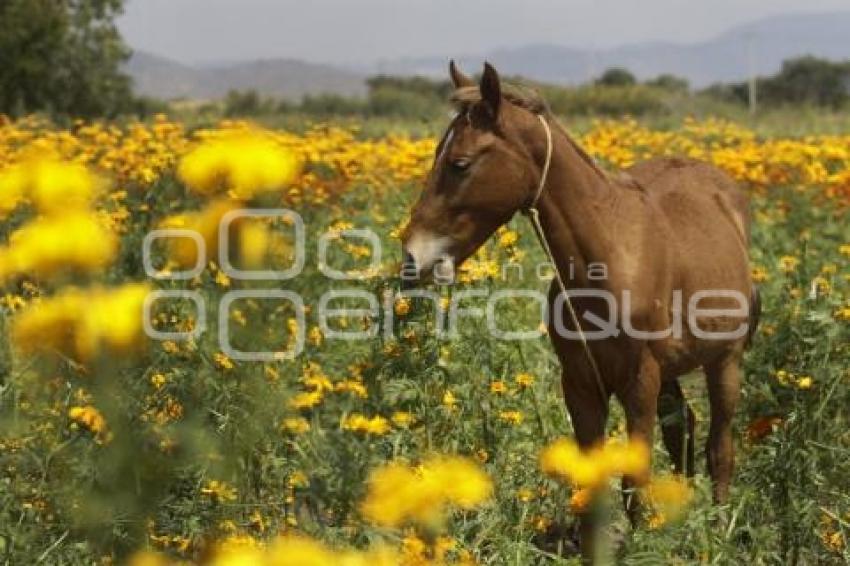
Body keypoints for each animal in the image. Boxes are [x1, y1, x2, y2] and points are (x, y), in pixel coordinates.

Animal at [400, 61, 760, 560]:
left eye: (460, 163)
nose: (414, 257)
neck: (609, 255)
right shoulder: (581, 384)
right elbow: (592, 483)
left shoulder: (639, 381)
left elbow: (634, 479)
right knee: (683, 431)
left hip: (724, 361)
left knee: (719, 448)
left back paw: (719, 531)